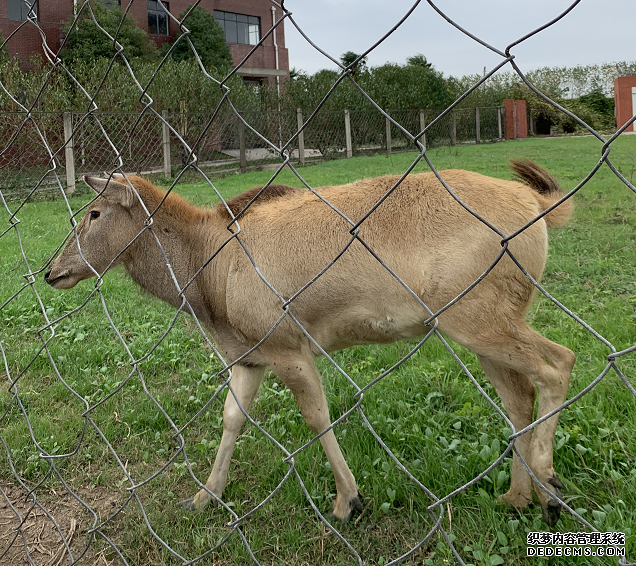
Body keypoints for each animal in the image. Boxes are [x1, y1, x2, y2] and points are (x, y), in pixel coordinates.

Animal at [42, 160, 572, 528]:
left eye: (92, 213)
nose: (52, 271)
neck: (209, 285)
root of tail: (538, 207)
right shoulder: (247, 355)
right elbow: (231, 418)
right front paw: (203, 496)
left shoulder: (286, 344)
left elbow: (316, 416)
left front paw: (347, 502)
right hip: (487, 320)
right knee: (519, 396)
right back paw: (517, 496)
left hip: (477, 314)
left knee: (559, 361)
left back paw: (549, 484)